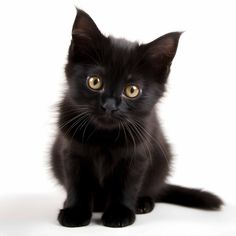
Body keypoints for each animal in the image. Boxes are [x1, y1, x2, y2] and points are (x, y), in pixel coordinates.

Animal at [50, 8, 223, 227]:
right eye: (95, 82)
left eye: (131, 90)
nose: (109, 106)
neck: (104, 137)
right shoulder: (71, 151)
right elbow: (77, 183)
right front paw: (75, 211)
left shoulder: (137, 154)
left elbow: (126, 184)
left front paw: (119, 213)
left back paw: (143, 203)